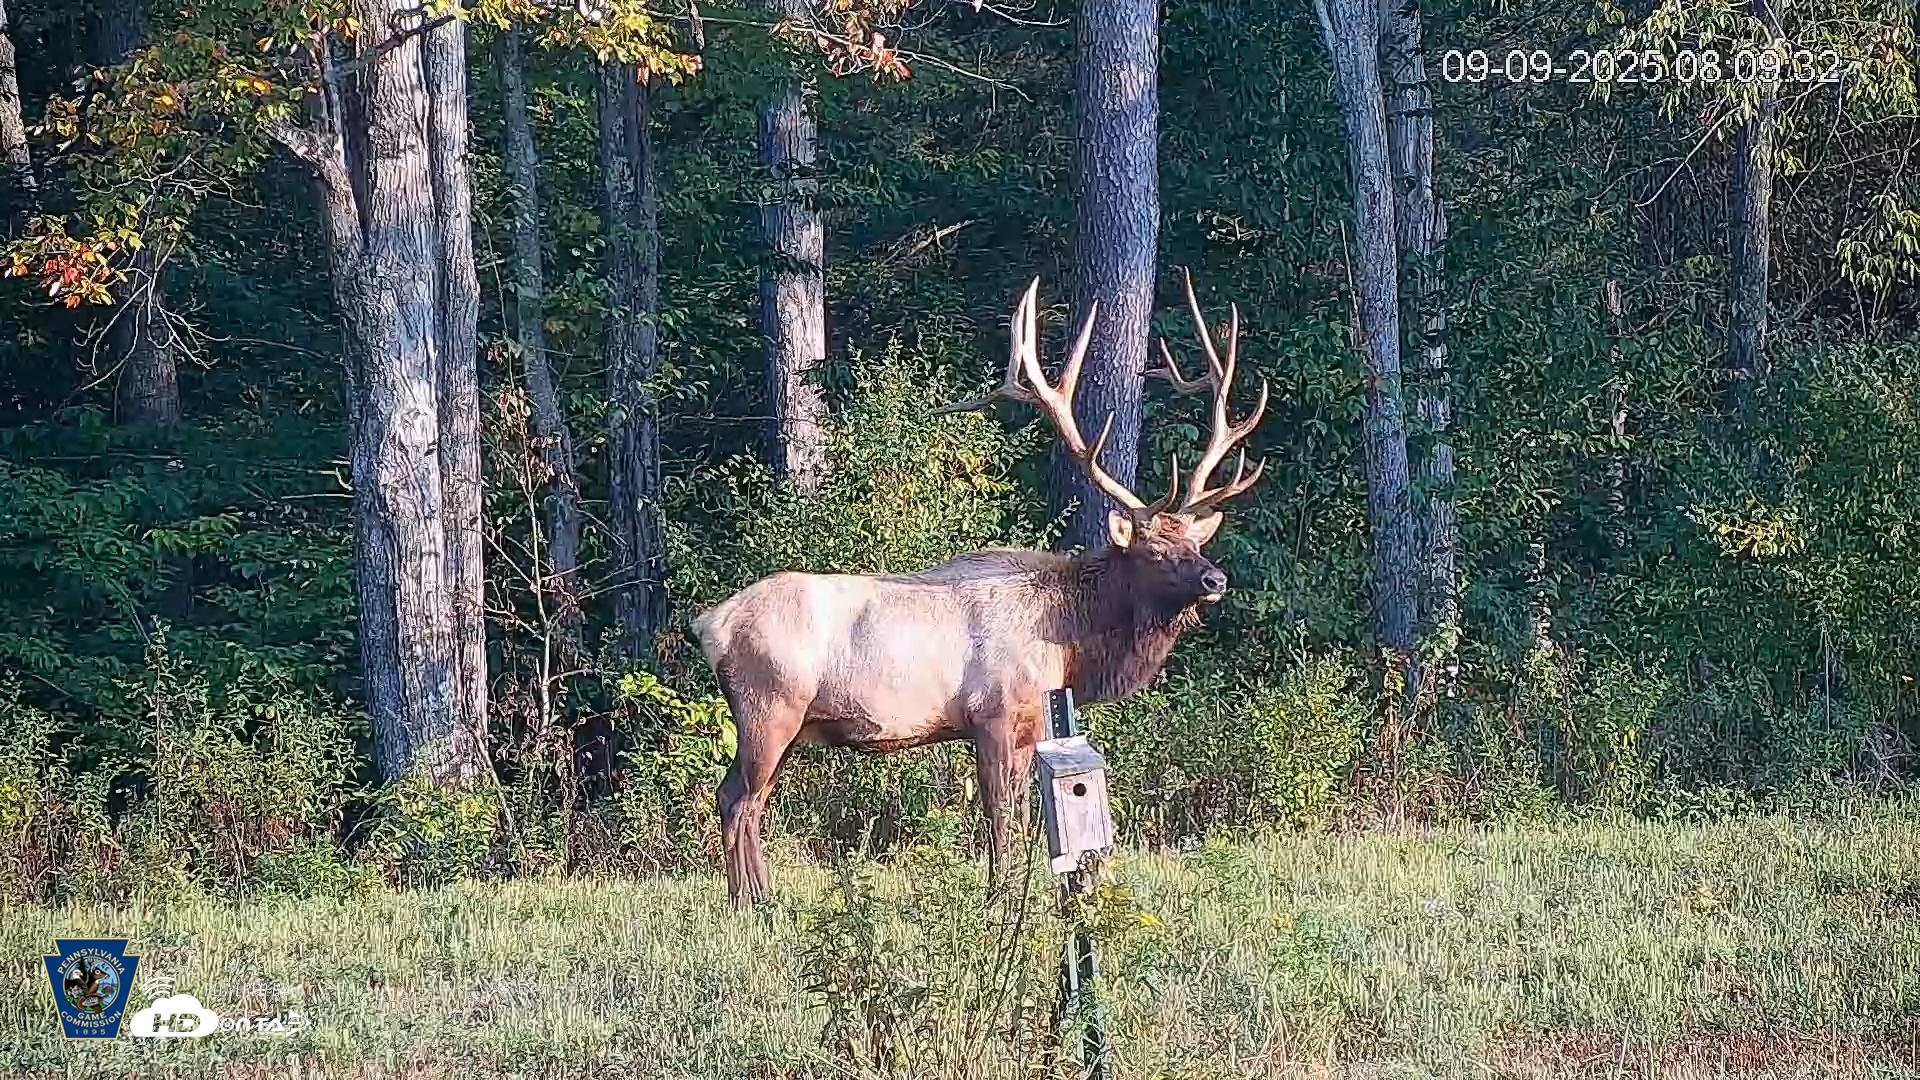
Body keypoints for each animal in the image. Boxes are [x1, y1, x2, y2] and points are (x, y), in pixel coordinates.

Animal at [691, 272, 1269, 907]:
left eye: (1193, 540)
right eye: (1154, 548)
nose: (1215, 579)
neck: (1069, 643)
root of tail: (708, 624)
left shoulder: (1033, 725)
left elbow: (1023, 812)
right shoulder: (990, 713)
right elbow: (998, 814)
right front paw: (999, 897)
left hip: (786, 722)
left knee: (749, 799)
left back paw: (762, 897)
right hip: (768, 705)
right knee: (736, 798)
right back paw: (750, 904)